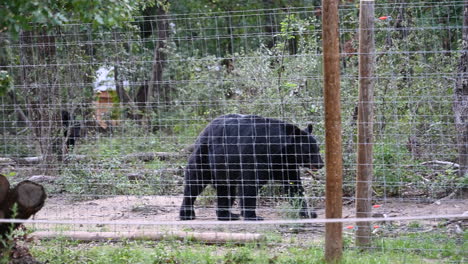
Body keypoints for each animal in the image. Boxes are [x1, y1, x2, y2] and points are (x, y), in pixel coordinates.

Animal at [181, 114, 324, 221]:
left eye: (317, 148)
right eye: (309, 150)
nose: (321, 163)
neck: (279, 151)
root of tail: (203, 131)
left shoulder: (285, 164)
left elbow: (293, 185)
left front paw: (308, 212)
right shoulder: (256, 154)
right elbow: (250, 183)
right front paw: (252, 215)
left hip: (223, 168)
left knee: (226, 190)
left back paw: (227, 215)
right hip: (205, 157)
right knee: (194, 183)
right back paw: (187, 214)